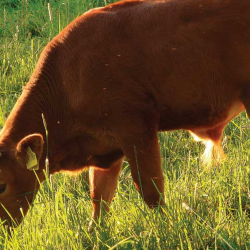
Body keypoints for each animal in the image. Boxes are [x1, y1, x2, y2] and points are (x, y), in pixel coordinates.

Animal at [0, 0, 250, 228]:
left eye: (2, 185)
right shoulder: (106, 147)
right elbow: (100, 197)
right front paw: (96, 234)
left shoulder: (137, 128)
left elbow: (150, 188)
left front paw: (165, 228)